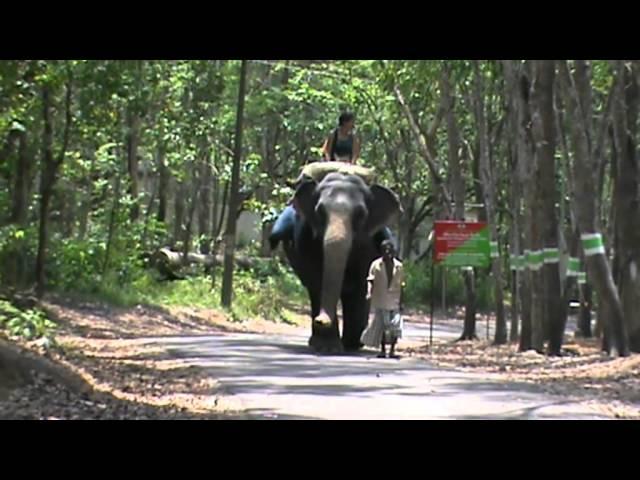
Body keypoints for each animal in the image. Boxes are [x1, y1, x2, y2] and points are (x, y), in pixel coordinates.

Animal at [268, 172, 400, 352]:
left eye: (361, 214)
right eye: (320, 212)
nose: (321, 320)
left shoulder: (368, 244)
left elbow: (361, 285)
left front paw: (350, 345)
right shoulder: (306, 239)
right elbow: (317, 280)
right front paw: (328, 346)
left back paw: (353, 343)